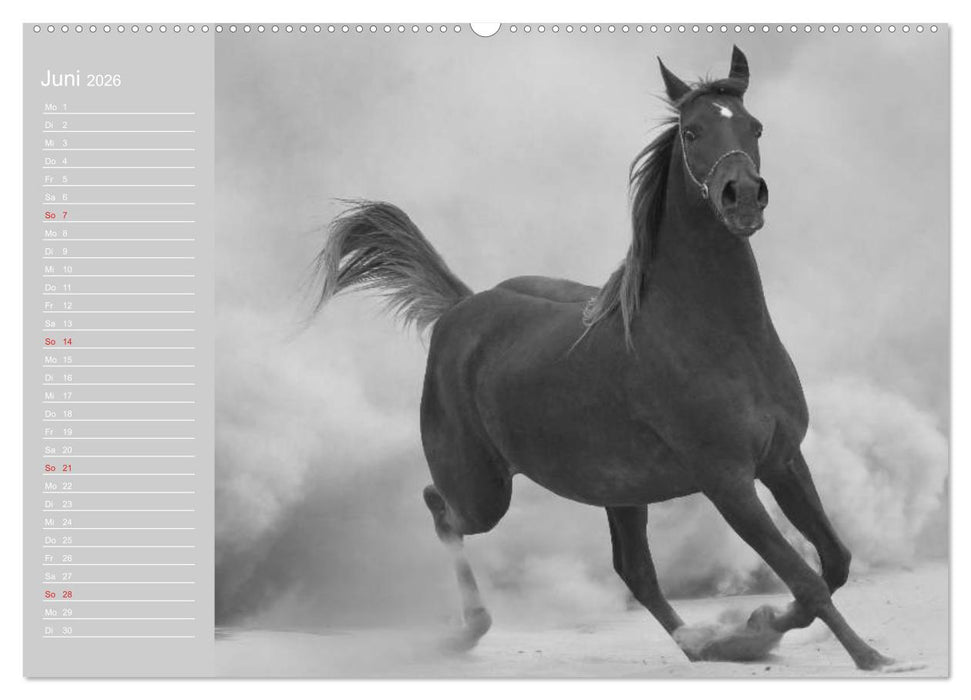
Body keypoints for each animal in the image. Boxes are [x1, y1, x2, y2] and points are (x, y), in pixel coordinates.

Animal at [311, 46, 895, 671]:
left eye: (754, 126)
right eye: (692, 132)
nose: (742, 196)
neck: (717, 335)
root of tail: (462, 307)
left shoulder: (783, 460)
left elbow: (834, 562)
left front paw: (749, 630)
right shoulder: (728, 482)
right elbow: (803, 577)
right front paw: (866, 655)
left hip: (620, 492)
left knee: (634, 571)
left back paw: (696, 642)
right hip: (484, 492)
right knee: (441, 509)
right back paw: (467, 631)